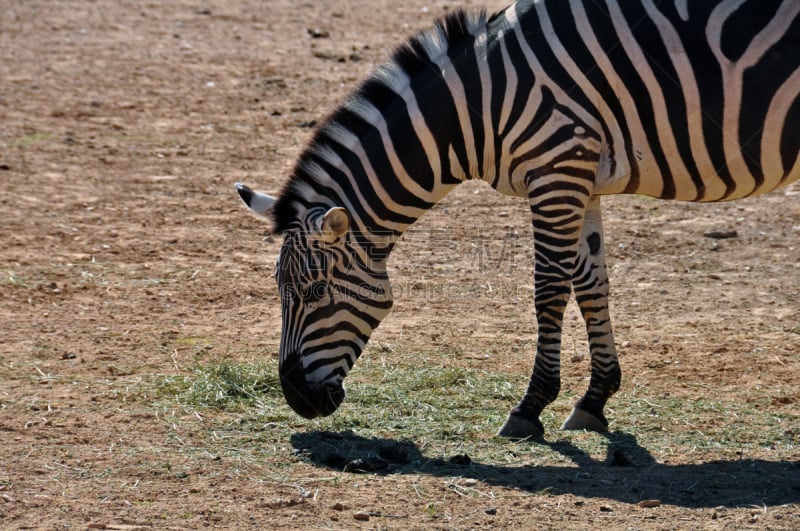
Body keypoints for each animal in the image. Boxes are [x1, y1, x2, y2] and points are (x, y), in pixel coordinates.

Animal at [234, 1, 796, 440]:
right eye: (281, 292)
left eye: (314, 293)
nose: (296, 399)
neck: (479, 104)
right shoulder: (582, 176)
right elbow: (591, 284)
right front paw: (595, 399)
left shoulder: (558, 166)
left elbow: (549, 288)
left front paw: (531, 406)